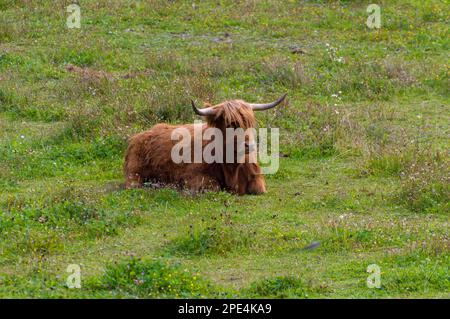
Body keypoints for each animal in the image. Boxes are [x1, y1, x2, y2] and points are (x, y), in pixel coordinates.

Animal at [124, 94, 284, 196]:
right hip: (134, 173)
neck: (231, 166)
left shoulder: (256, 178)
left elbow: (258, 188)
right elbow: (214, 187)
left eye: (250, 123)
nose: (249, 145)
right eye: (231, 124)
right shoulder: (193, 177)